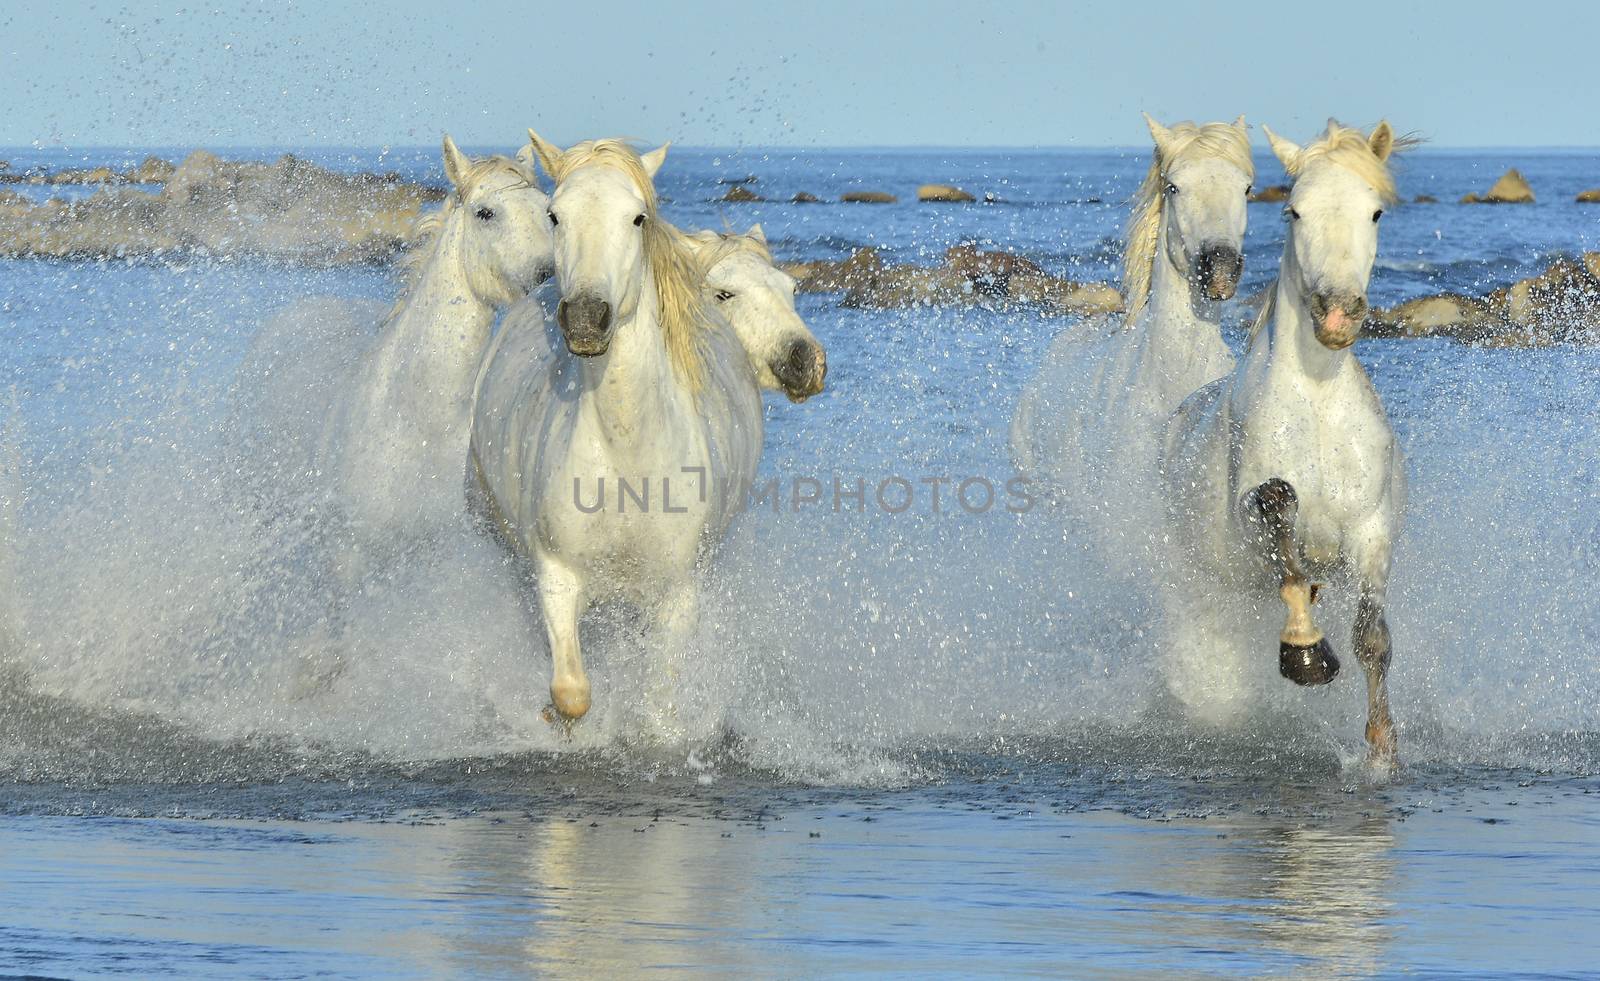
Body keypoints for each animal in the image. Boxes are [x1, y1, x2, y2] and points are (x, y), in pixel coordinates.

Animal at [467, 133, 768, 723]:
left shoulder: (677, 594)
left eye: (637, 217)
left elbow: (659, 700)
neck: (628, 452)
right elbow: (571, 693)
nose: (586, 318)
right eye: (554, 215)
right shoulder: (557, 576)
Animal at [1164, 120, 1414, 764]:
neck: (1319, 401)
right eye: (1294, 211)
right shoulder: (1254, 514)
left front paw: (1382, 750)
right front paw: (1305, 653)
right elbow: (1281, 520)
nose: (1337, 315)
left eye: (1375, 211)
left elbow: (1372, 636)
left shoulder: (1372, 529)